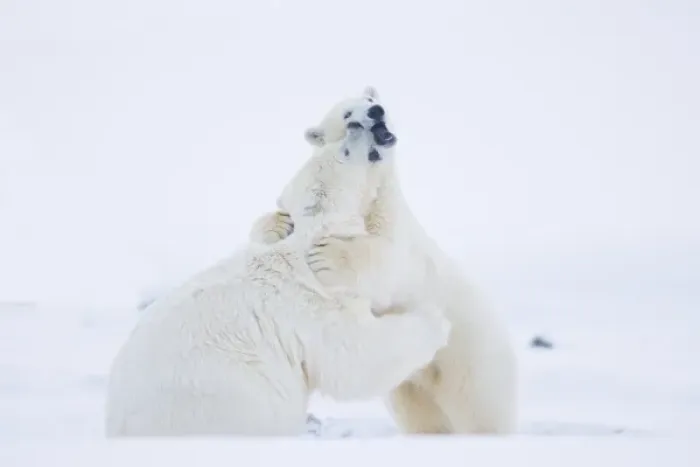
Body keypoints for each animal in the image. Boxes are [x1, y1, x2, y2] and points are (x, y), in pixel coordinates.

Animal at [104, 105, 451, 437]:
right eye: (346, 148)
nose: (367, 123)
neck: (306, 243)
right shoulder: (315, 307)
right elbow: (356, 358)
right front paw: (437, 320)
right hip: (226, 408)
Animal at [249, 86, 518, 435]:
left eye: (369, 101)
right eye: (347, 115)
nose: (376, 112)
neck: (370, 198)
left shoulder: (399, 233)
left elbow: (385, 261)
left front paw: (327, 256)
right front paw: (278, 225)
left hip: (473, 358)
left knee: (483, 413)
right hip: (410, 385)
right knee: (422, 416)